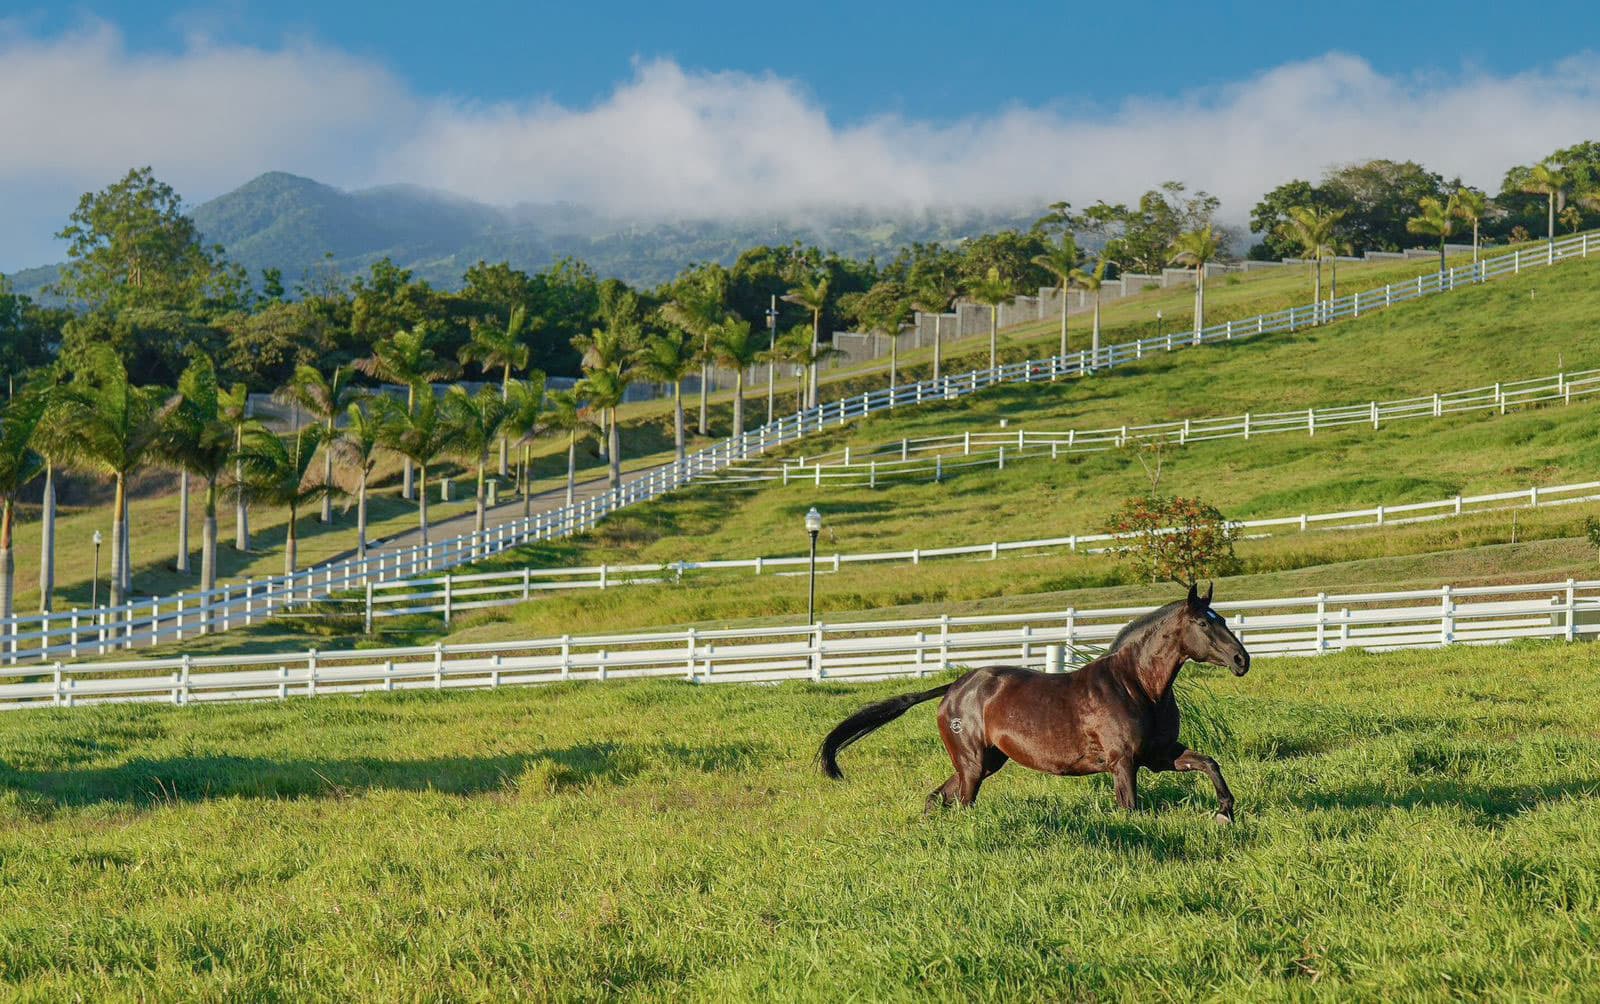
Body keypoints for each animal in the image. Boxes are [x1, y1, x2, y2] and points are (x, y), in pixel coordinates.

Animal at [819, 583, 1251, 822]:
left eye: (1224, 619)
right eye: (1203, 623)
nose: (1241, 660)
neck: (1137, 686)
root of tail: (953, 688)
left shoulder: (1159, 755)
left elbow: (1209, 763)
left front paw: (1225, 812)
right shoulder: (1123, 762)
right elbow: (1129, 808)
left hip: (985, 763)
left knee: (936, 798)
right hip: (973, 765)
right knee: (960, 803)